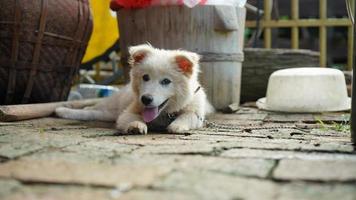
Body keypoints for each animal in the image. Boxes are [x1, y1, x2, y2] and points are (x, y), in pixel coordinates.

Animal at [55, 44, 214, 134]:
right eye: (145, 77)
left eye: (166, 81)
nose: (146, 99)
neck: (164, 114)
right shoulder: (126, 113)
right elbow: (132, 118)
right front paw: (136, 125)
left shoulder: (196, 113)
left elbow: (188, 116)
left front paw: (178, 125)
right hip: (113, 104)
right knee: (94, 109)